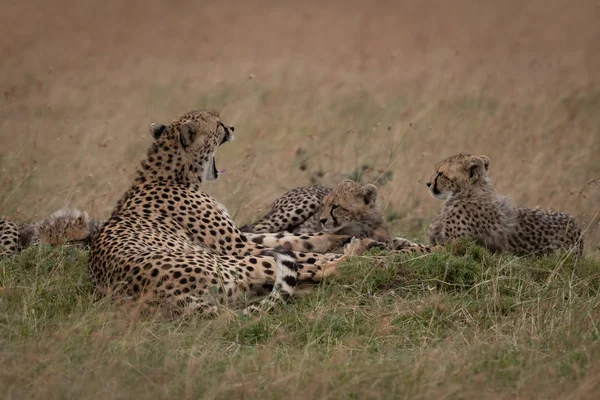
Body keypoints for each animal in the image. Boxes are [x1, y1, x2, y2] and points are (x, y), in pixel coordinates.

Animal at [88, 110, 360, 316]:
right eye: (217, 124)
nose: (231, 127)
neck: (171, 174)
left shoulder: (239, 237)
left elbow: (288, 238)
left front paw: (334, 238)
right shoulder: (235, 247)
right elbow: (296, 250)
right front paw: (341, 247)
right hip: (229, 262)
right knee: (307, 267)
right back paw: (351, 255)